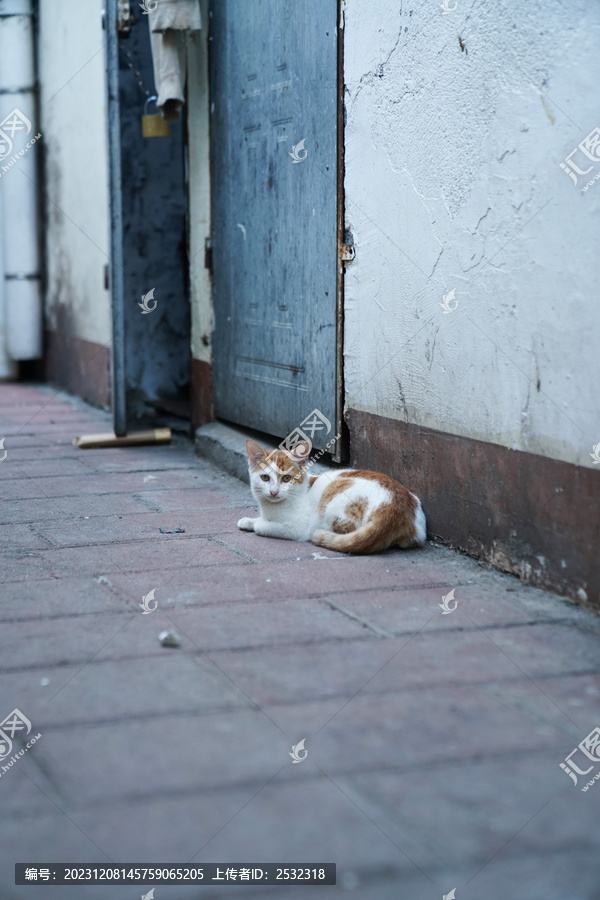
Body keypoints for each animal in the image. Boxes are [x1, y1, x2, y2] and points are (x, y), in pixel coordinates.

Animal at [237, 438, 428, 552]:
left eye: (286, 478)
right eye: (265, 477)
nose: (274, 492)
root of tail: (396, 506)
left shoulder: (297, 528)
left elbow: (263, 526)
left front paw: (258, 523)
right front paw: (248, 520)